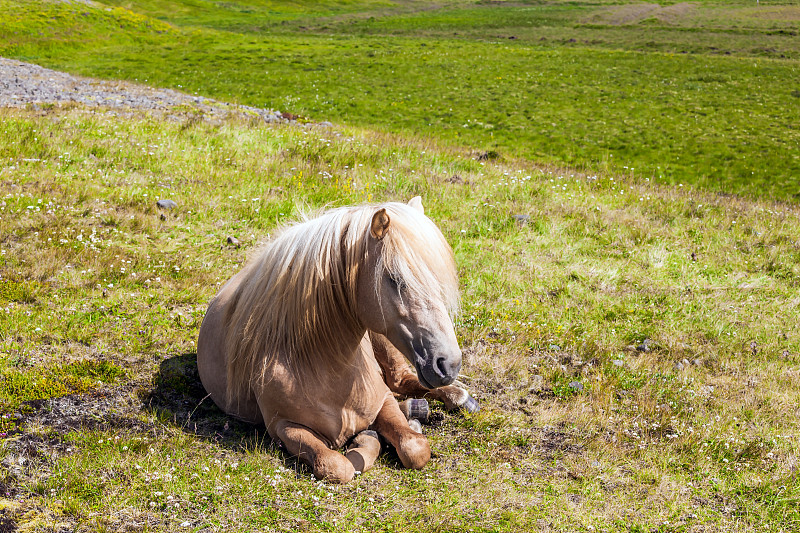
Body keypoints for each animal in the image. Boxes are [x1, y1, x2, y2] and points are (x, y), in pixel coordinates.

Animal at [197, 198, 478, 482]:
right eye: (395, 278)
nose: (449, 364)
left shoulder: (383, 401)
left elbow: (415, 447)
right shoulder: (283, 426)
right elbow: (336, 466)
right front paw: (366, 438)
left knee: (402, 379)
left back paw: (454, 397)